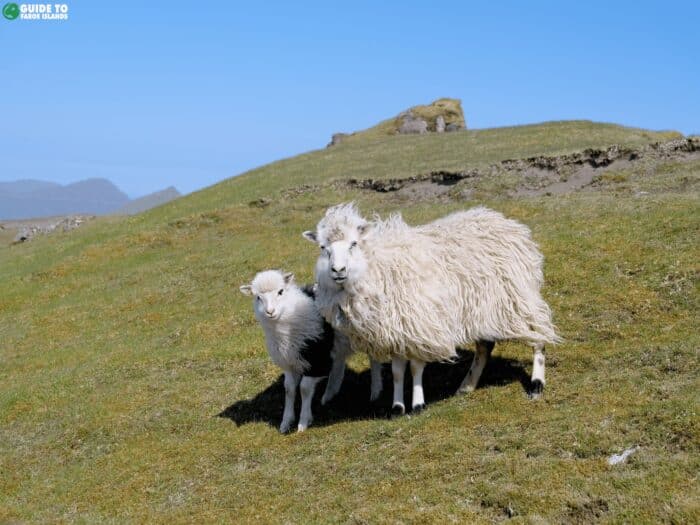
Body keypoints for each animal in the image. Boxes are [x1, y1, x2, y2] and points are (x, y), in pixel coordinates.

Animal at [241, 268, 352, 432]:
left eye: (281, 291)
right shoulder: (289, 362)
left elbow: (304, 388)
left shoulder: (316, 360)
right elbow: (289, 389)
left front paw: (303, 422)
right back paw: (330, 394)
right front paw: (286, 421)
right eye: (258, 297)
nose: (270, 311)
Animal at [304, 203, 560, 416]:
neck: (375, 266)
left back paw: (537, 384)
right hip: (483, 309)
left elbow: (416, 367)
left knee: (538, 336)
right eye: (323, 247)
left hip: (517, 298)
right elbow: (398, 371)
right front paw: (398, 407)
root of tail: (510, 226)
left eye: (353, 243)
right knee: (485, 347)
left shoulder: (420, 324)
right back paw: (467, 386)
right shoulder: (397, 329)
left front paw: (418, 404)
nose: (338, 270)